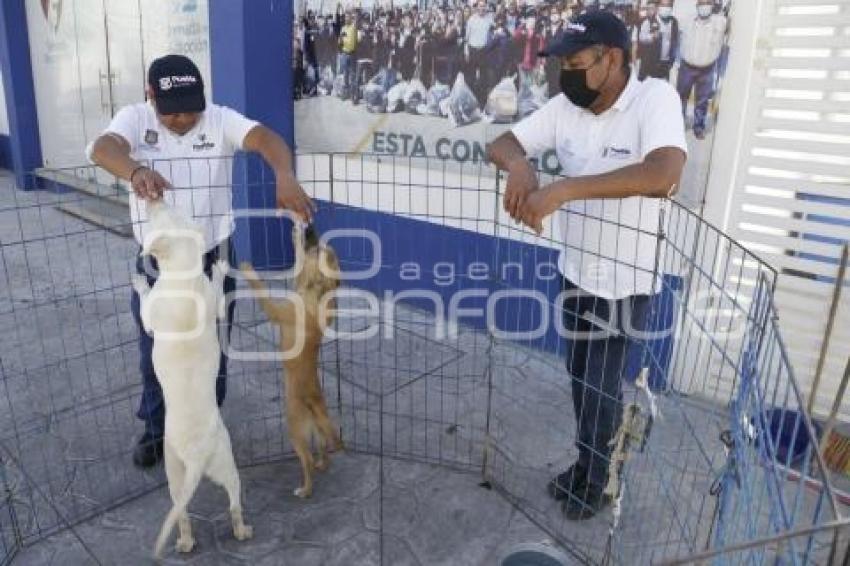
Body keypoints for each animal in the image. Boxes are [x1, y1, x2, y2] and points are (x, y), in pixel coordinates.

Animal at [131, 201, 252, 560]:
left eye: (163, 213)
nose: (154, 197)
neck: (182, 272)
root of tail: (197, 456)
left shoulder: (153, 317)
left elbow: (146, 307)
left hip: (192, 470)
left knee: (214, 509)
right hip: (195, 470)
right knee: (217, 508)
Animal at [238, 224, 342, 500]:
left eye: (322, 252)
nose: (312, 229)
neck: (314, 295)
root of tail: (314, 405)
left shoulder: (275, 310)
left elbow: (261, 288)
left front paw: (247, 269)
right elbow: (297, 261)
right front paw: (296, 235)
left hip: (295, 431)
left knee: (306, 461)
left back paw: (304, 490)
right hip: (316, 432)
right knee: (323, 451)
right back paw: (322, 464)